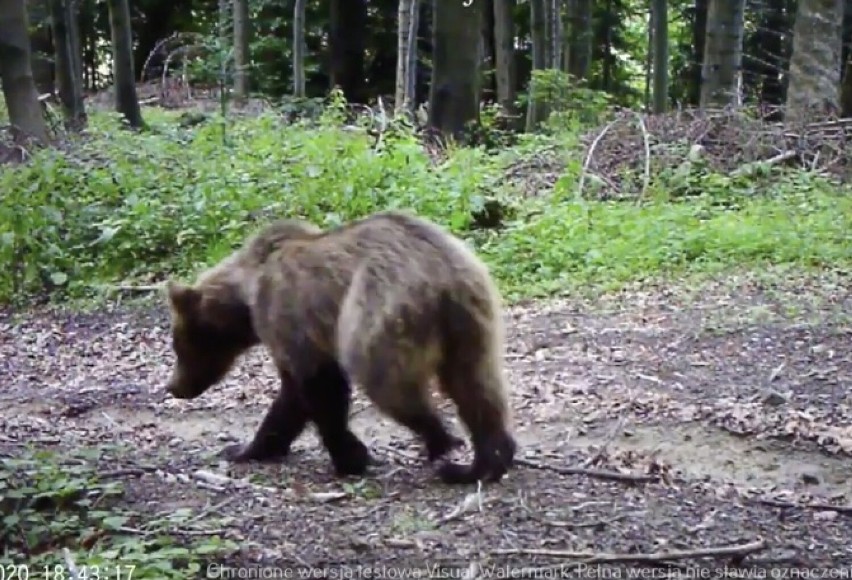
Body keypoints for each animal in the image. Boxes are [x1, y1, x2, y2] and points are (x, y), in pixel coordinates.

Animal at [163, 211, 516, 482]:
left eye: (179, 346)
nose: (174, 387)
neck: (245, 300)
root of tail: (442, 274)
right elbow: (292, 399)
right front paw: (249, 448)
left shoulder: (288, 317)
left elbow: (318, 386)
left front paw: (351, 457)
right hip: (471, 317)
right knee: (477, 384)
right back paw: (484, 462)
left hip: (380, 311)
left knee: (386, 380)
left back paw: (441, 442)